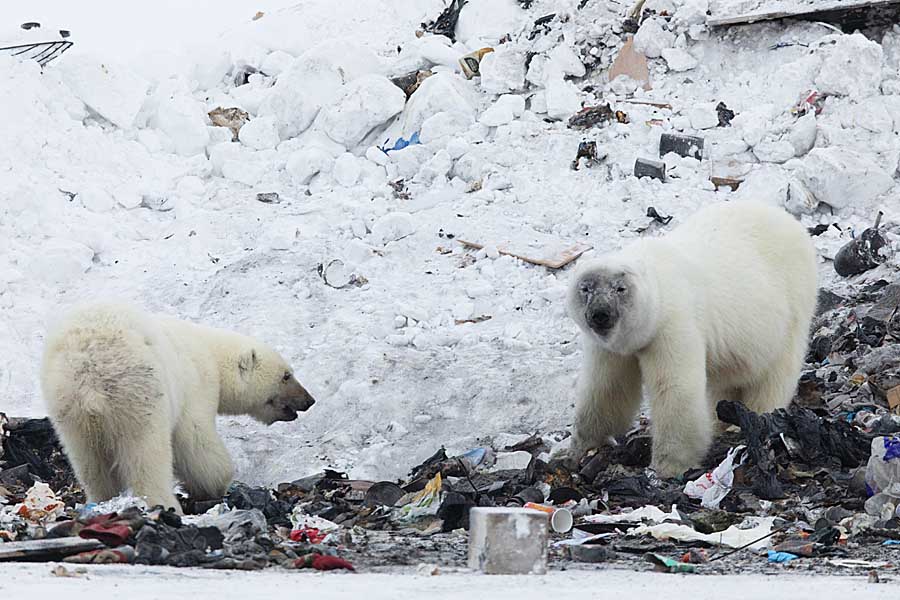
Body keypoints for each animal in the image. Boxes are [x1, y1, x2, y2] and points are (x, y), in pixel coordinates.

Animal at [41, 304, 316, 510]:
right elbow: (195, 441)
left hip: (68, 408)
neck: (211, 352)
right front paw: (217, 483)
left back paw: (101, 499)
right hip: (139, 392)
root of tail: (88, 369)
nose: (309, 400)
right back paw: (164, 503)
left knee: (88, 459)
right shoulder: (195, 385)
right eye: (286, 375)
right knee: (147, 452)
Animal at [568, 202, 820, 478]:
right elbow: (606, 389)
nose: (600, 314)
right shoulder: (609, 348)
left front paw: (667, 466)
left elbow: (675, 389)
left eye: (620, 288)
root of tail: (789, 220)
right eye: (585, 288)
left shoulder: (673, 324)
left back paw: (754, 418)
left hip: (790, 307)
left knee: (773, 374)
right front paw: (579, 448)